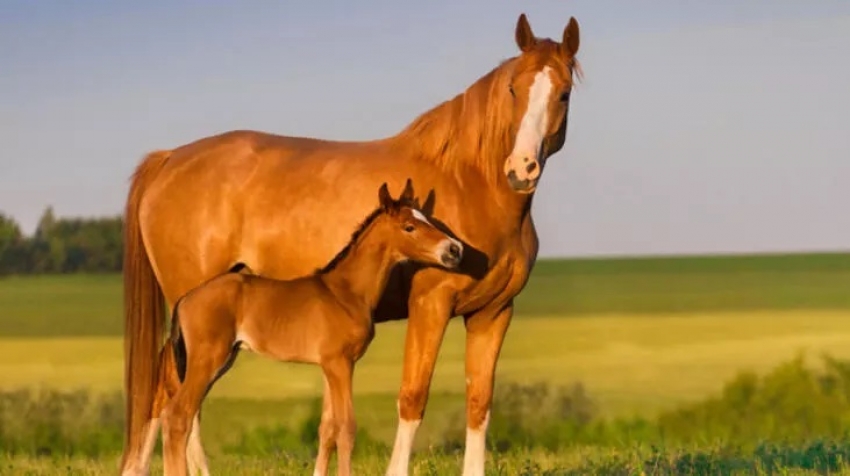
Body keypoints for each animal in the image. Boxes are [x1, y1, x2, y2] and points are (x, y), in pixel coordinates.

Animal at [147, 182, 464, 476]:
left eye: (427, 218)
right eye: (409, 227)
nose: (454, 249)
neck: (346, 292)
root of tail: (185, 299)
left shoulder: (332, 366)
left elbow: (329, 427)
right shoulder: (339, 363)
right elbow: (346, 427)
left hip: (219, 361)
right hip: (207, 360)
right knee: (177, 416)